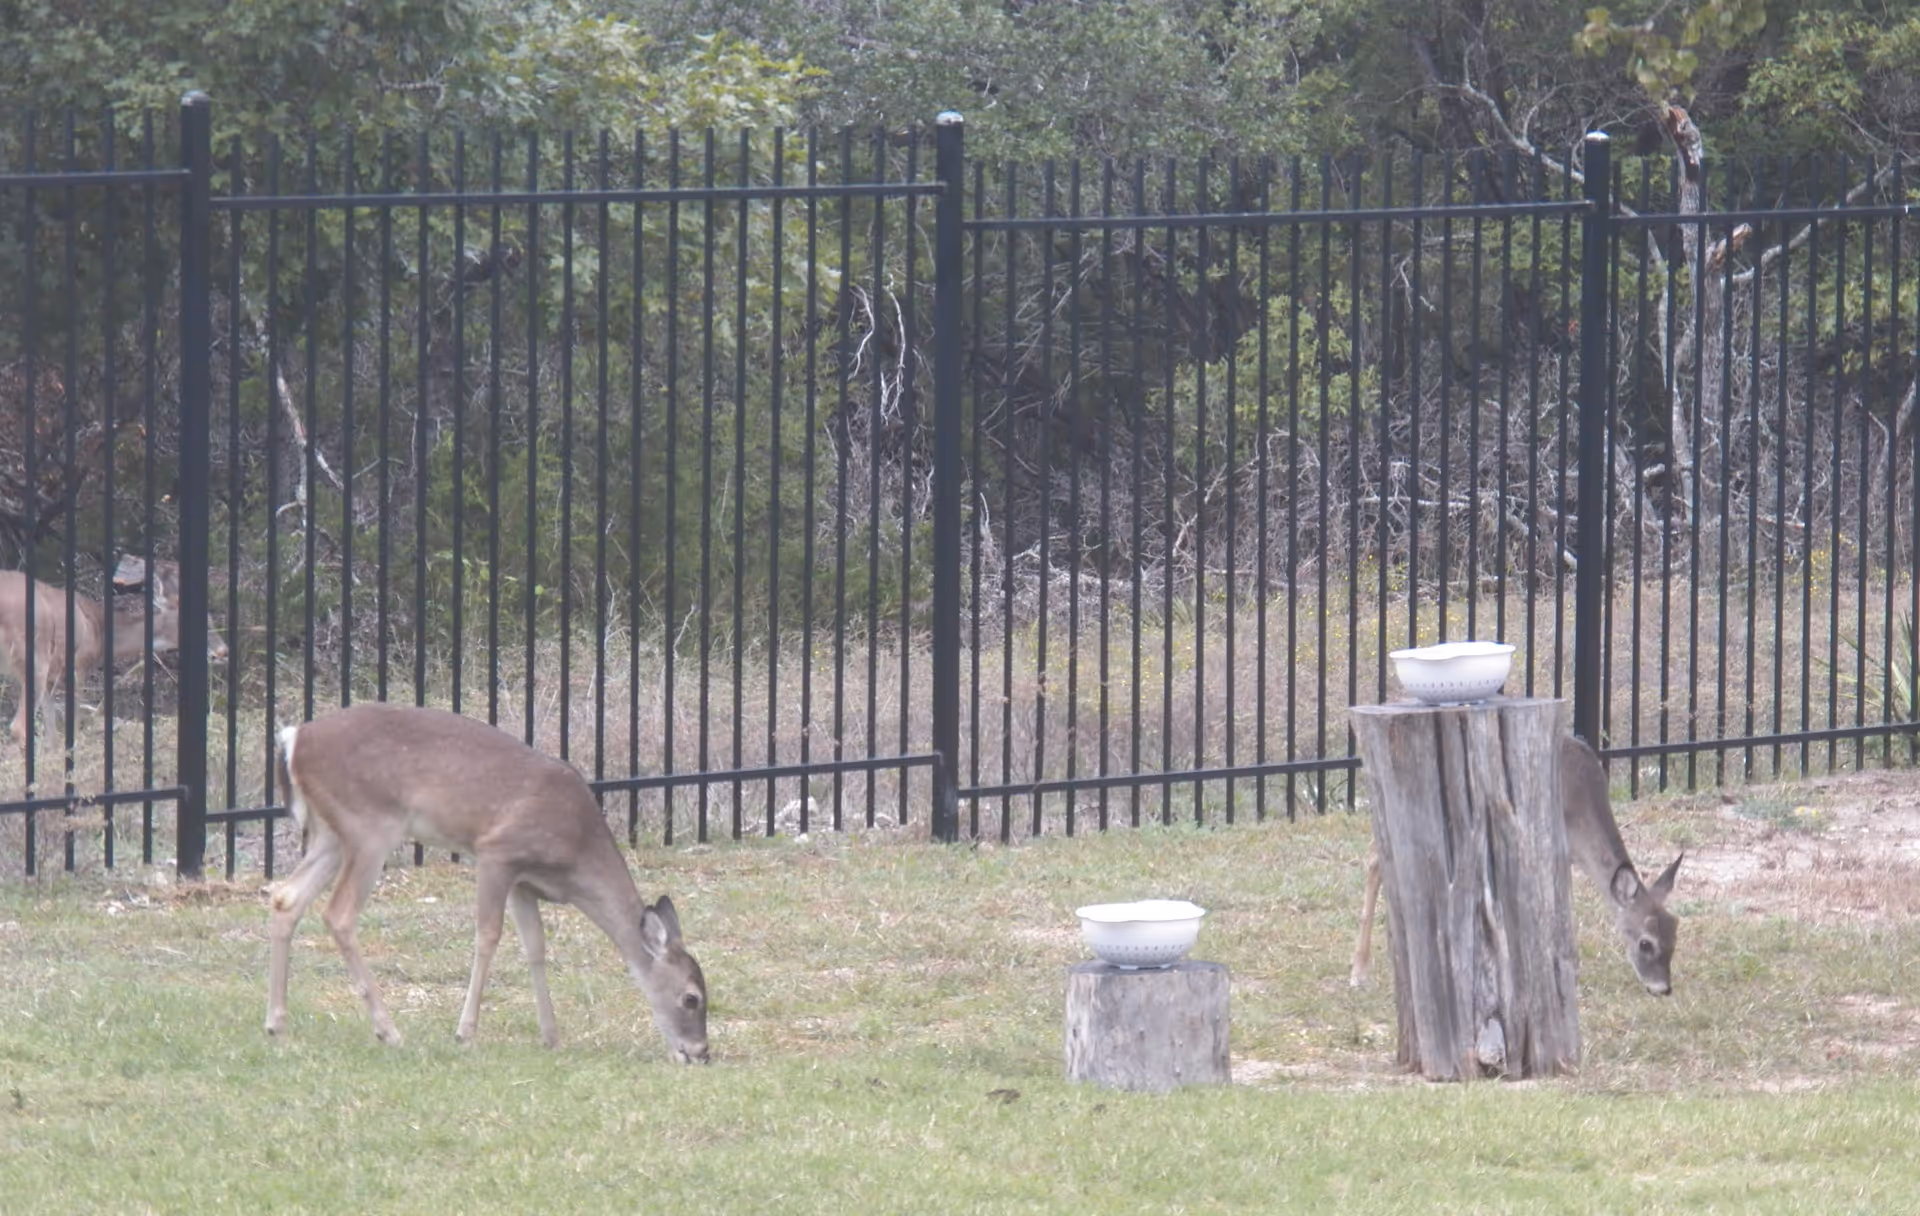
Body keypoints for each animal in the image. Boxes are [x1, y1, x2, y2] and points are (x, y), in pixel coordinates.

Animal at [0, 556, 229, 749]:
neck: (100, 631)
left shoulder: (52, 679)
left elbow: (52, 735)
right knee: (17, 727)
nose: (223, 651)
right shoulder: (78, 665)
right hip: (36, 657)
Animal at [264, 702, 710, 1063]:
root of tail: (294, 740)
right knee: (338, 914)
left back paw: (277, 1026)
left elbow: (535, 946)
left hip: (331, 834)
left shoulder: (524, 882)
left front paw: (552, 1037)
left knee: (286, 897)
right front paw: (465, 1033)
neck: (576, 853)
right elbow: (488, 935)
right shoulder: (497, 851)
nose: (700, 1053)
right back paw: (388, 1031)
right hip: (369, 824)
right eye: (692, 998)